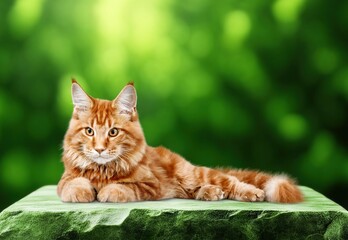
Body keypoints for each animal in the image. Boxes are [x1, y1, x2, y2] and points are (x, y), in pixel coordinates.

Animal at [57, 80, 302, 202]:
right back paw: (211, 193)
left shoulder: (151, 185)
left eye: (113, 132)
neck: (103, 171)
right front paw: (83, 192)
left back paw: (252, 193)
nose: (99, 149)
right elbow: (73, 184)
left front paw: (107, 191)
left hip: (193, 174)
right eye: (89, 131)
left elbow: (124, 188)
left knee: (231, 181)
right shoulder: (65, 179)